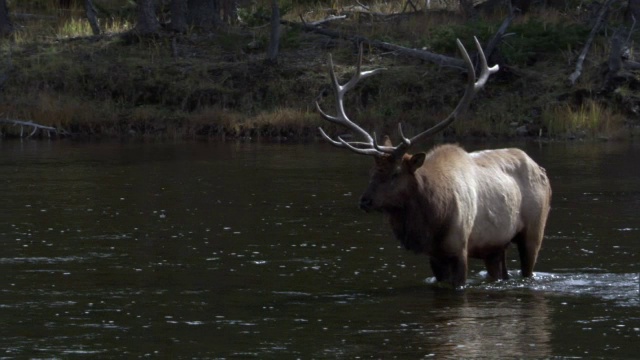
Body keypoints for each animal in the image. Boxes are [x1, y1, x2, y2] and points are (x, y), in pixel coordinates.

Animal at [318, 38, 552, 286]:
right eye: (372, 171)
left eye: (395, 173)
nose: (365, 201)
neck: (434, 218)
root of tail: (541, 169)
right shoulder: (435, 256)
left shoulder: (460, 248)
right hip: (496, 246)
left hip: (534, 230)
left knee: (529, 264)